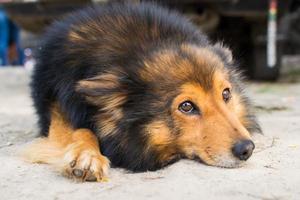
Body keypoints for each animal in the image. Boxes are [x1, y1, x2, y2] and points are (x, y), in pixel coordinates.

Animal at [25, 2, 260, 182]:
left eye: (226, 94)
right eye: (186, 106)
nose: (247, 149)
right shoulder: (59, 101)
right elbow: (78, 129)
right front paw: (87, 155)